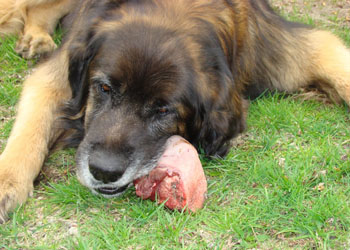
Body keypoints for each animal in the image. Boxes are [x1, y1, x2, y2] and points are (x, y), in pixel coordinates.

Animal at [0, 0, 350, 223]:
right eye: (104, 88)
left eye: (163, 110)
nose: (104, 171)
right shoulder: (59, 72)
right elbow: (30, 127)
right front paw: (6, 181)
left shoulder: (275, 49)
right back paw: (35, 36)